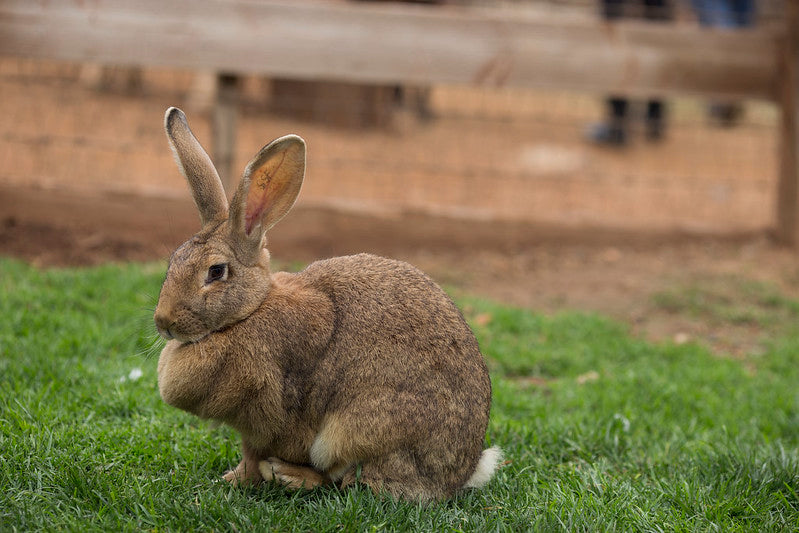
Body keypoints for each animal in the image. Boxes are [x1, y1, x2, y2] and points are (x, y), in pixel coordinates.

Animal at [155, 107, 500, 498]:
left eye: (215, 272)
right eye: (173, 262)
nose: (163, 322)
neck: (250, 311)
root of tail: (461, 474)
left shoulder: (271, 417)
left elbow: (256, 454)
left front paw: (240, 480)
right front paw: (231, 479)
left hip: (359, 431)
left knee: (352, 482)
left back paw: (290, 476)